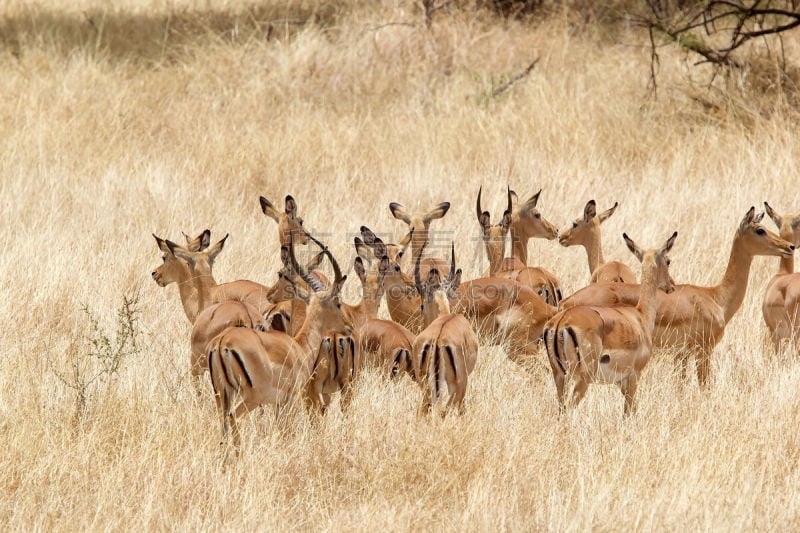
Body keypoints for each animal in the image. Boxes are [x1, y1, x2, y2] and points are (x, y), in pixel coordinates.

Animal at [544, 233, 676, 416]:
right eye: (668, 260)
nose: (672, 285)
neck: (640, 316)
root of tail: (561, 321)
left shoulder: (621, 383)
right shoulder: (633, 376)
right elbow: (628, 413)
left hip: (559, 376)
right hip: (582, 379)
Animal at [560, 206, 796, 384]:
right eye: (760, 230)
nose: (790, 246)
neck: (716, 297)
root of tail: (566, 304)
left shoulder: (681, 354)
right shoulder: (703, 351)